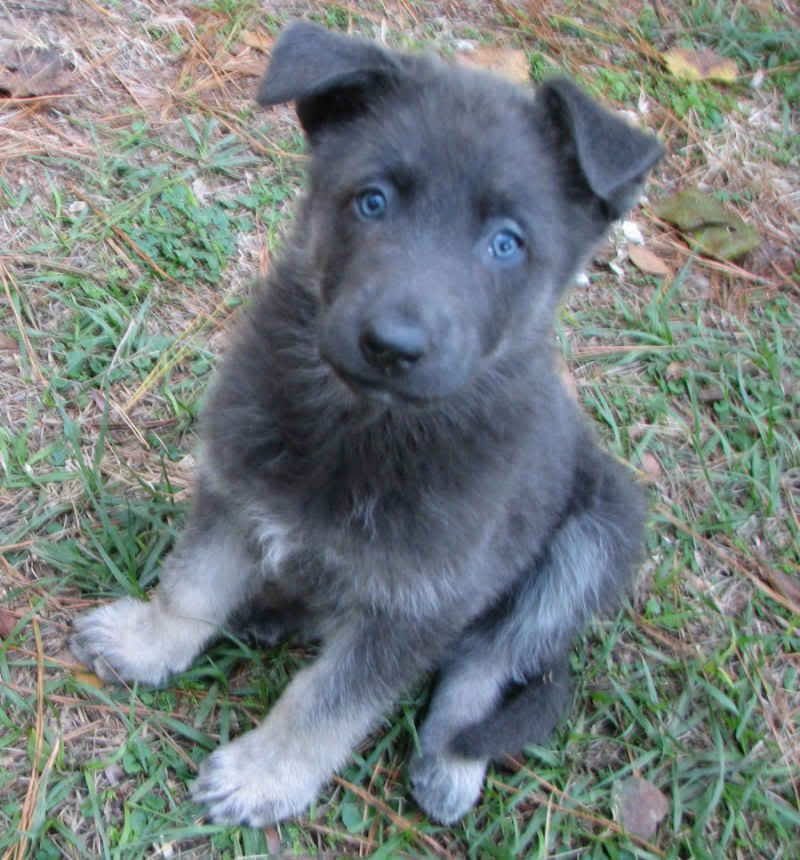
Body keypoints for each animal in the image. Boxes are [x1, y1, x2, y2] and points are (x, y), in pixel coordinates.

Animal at [72, 20, 664, 828]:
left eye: (506, 242)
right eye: (372, 201)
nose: (393, 345)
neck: (363, 425)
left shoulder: (421, 604)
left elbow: (327, 702)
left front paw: (264, 775)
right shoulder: (235, 493)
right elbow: (191, 585)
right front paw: (148, 642)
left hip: (597, 528)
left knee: (487, 660)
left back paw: (450, 759)